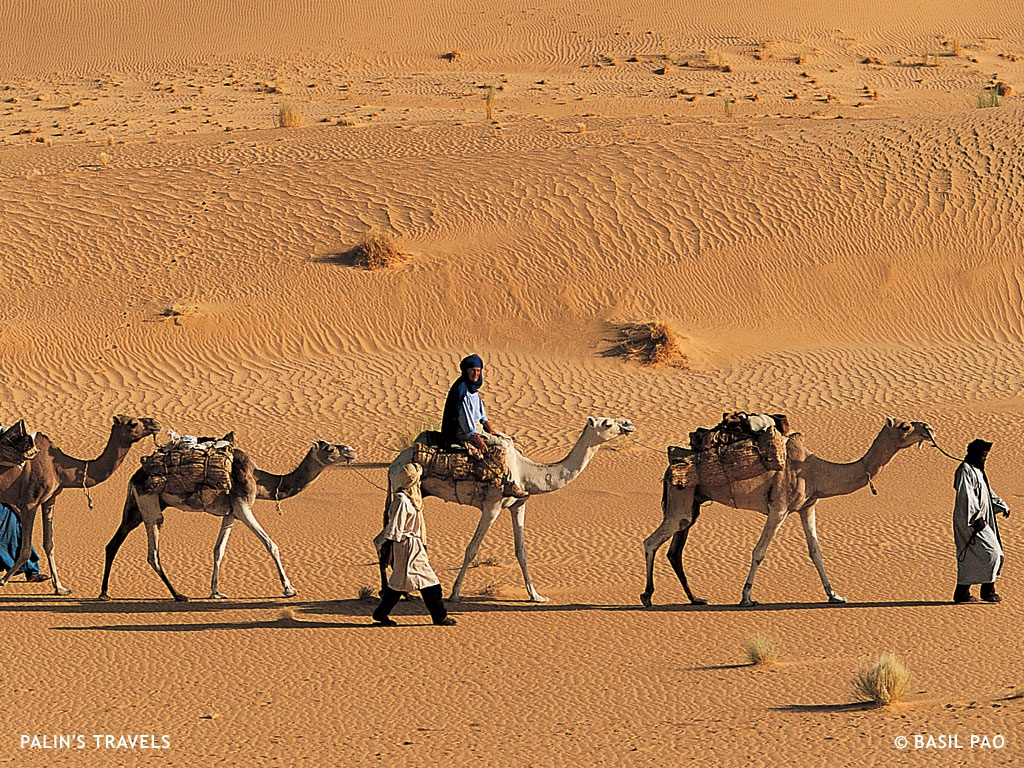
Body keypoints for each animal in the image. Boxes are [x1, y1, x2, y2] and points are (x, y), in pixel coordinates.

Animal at [0, 415, 159, 593]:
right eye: (133, 423)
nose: (155, 423)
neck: (58, 467)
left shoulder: (49, 500)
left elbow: (49, 543)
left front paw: (60, 588)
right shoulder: (29, 502)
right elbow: (26, 549)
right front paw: (3, 580)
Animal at [98, 438, 356, 602]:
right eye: (330, 449)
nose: (351, 450)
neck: (260, 480)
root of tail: (134, 477)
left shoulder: (230, 513)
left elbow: (218, 550)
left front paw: (216, 592)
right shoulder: (243, 505)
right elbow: (270, 544)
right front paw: (289, 589)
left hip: (136, 506)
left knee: (114, 543)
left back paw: (104, 593)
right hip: (150, 504)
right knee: (152, 552)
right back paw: (179, 595)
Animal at [387, 417, 634, 606]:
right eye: (607, 423)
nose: (628, 424)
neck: (525, 472)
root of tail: (395, 462)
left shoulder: (518, 504)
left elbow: (521, 551)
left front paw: (536, 596)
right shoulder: (492, 506)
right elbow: (472, 548)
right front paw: (455, 594)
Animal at [638, 417, 937, 610]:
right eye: (906, 426)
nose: (929, 429)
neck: (815, 470)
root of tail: (670, 468)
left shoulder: (807, 506)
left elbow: (815, 551)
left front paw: (834, 595)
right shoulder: (779, 508)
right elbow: (759, 551)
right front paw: (746, 597)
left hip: (693, 503)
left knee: (675, 549)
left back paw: (695, 598)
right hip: (681, 498)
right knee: (651, 542)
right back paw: (647, 596)